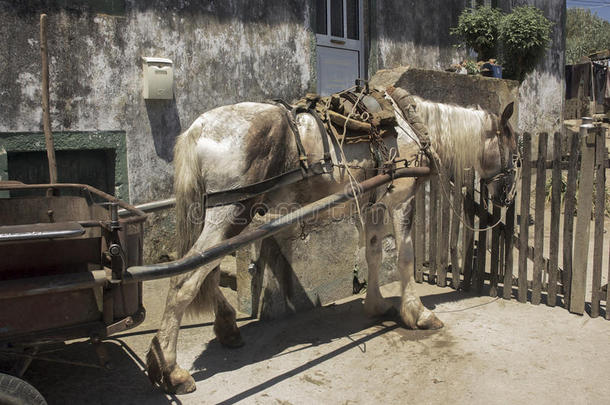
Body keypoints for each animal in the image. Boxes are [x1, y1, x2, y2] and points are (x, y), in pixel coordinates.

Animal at [145, 87, 516, 392]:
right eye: (513, 153)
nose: (507, 197)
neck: (412, 125)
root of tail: (199, 128)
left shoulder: (372, 205)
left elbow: (373, 255)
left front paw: (376, 305)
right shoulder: (400, 199)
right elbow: (405, 257)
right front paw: (418, 314)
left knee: (204, 270)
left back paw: (223, 329)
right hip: (231, 212)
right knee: (184, 278)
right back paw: (171, 368)